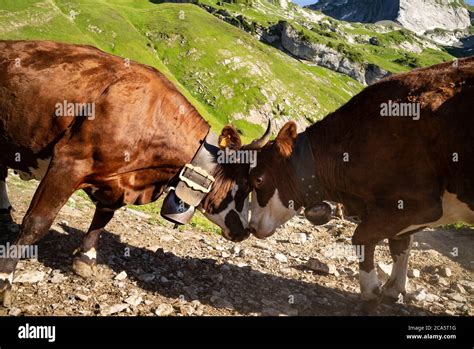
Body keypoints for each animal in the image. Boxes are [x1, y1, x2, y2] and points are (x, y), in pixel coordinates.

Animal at [0, 40, 268, 304]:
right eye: (246, 185)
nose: (246, 231)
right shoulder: (69, 163)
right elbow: (37, 222)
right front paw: (5, 278)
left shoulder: (117, 184)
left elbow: (102, 219)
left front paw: (86, 259)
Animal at [244, 56, 474, 308]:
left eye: (258, 179)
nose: (251, 227)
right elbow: (399, 243)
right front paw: (393, 290)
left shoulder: (421, 204)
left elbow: (363, 236)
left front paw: (370, 291)